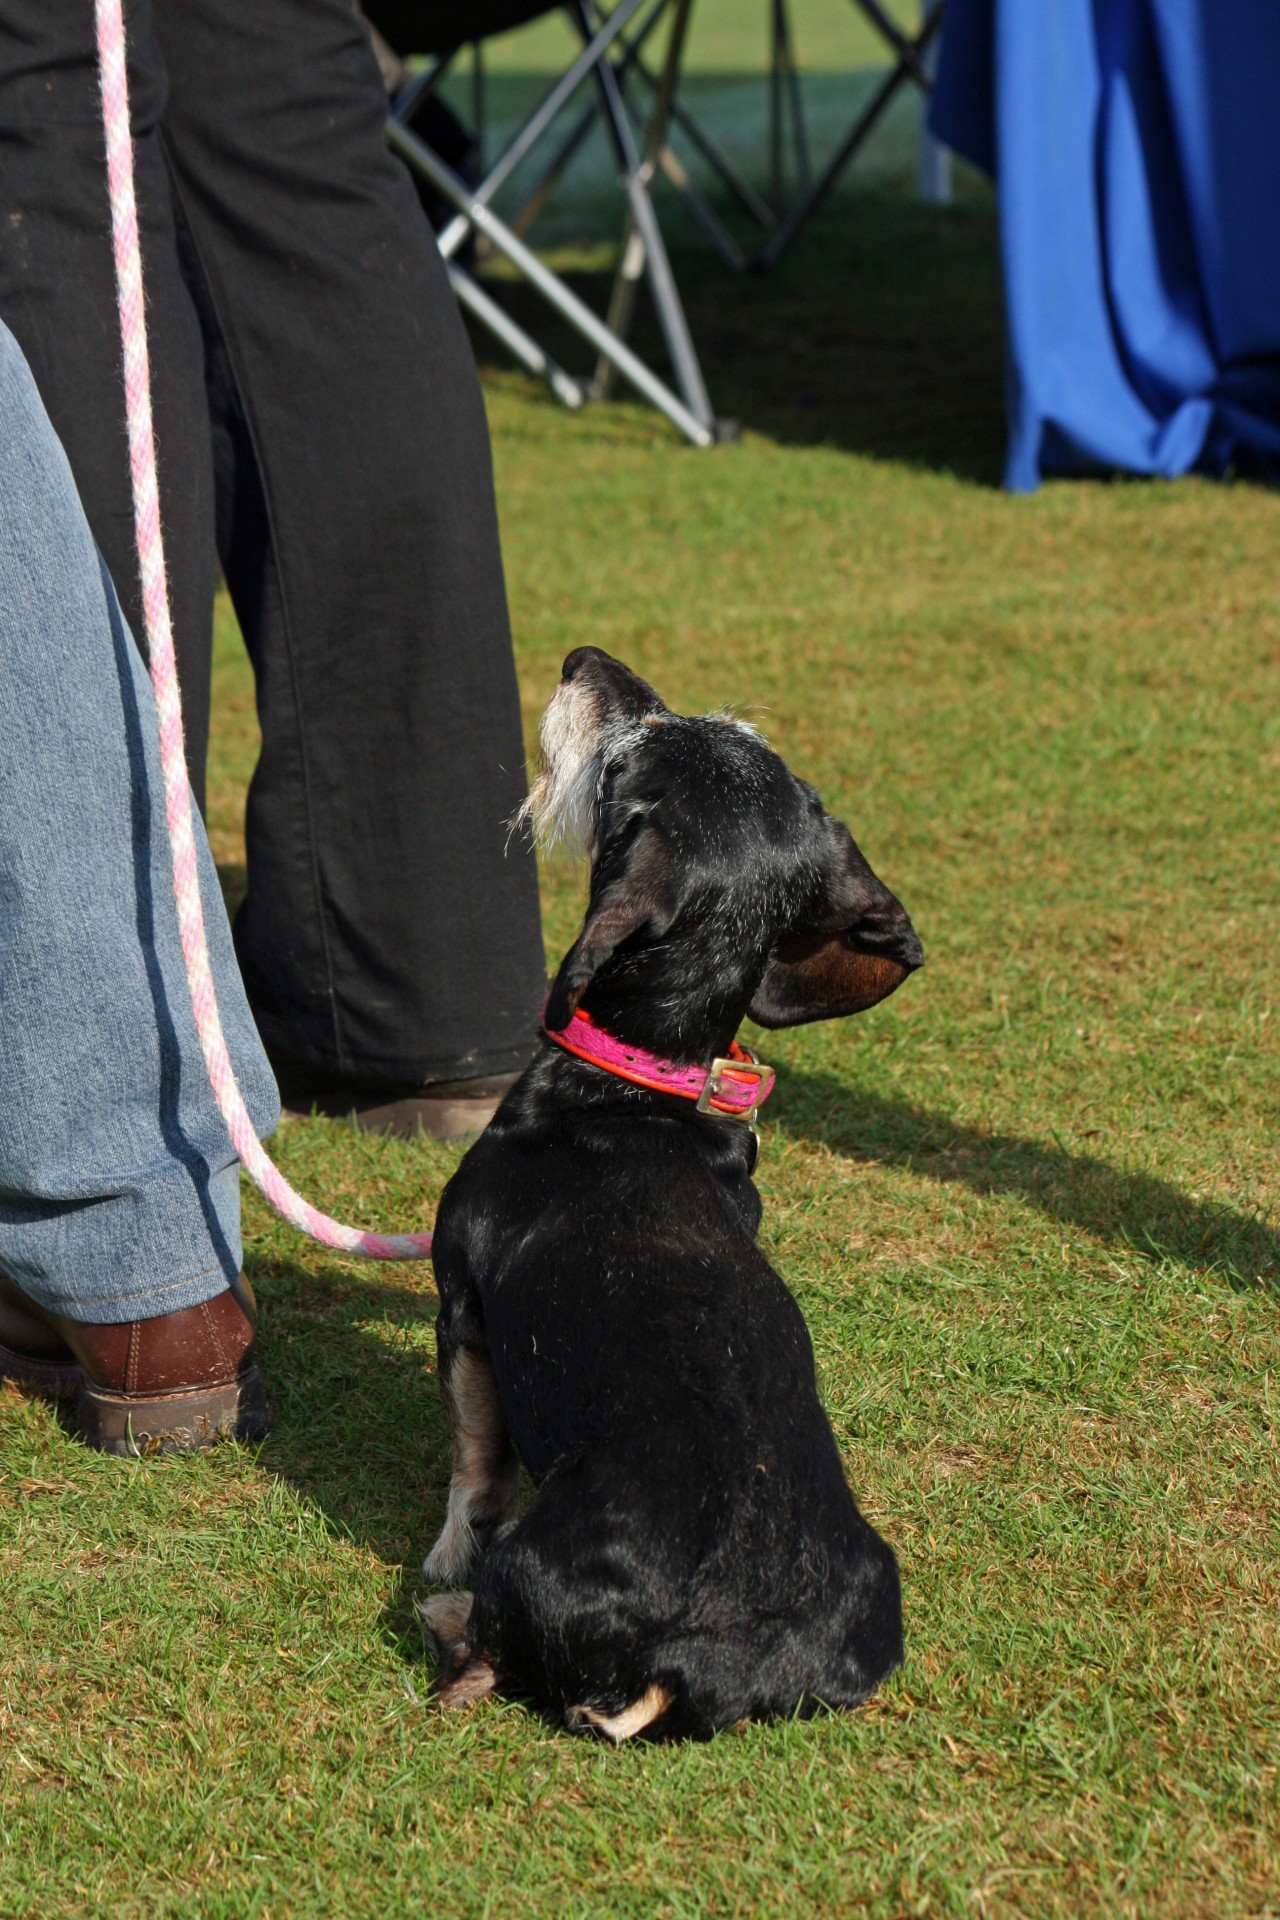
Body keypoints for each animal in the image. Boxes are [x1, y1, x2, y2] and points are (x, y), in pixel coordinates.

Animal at [420, 645, 921, 1743]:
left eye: (624, 763)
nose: (584, 661)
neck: (637, 1085)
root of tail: (707, 1653)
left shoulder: (462, 1309)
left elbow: (473, 1458)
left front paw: (440, 1554)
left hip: (528, 1559)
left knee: (492, 1653)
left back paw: (445, 1619)